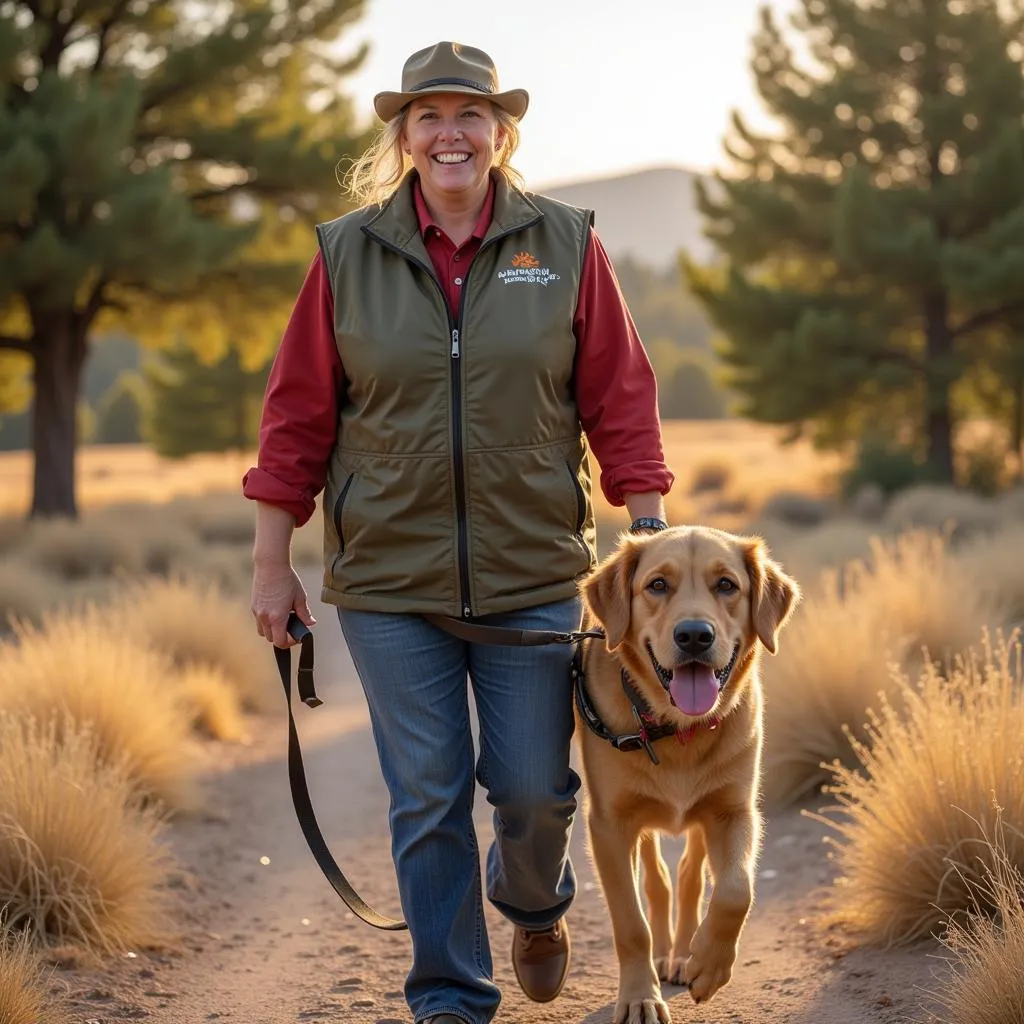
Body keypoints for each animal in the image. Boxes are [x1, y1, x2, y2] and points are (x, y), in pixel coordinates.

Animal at [577, 524, 798, 1019]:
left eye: (727, 585)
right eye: (657, 585)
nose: (694, 636)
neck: (675, 728)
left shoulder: (733, 811)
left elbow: (736, 889)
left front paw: (707, 966)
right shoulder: (608, 824)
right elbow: (631, 921)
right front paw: (640, 996)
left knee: (689, 874)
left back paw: (682, 954)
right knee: (658, 879)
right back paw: (664, 955)